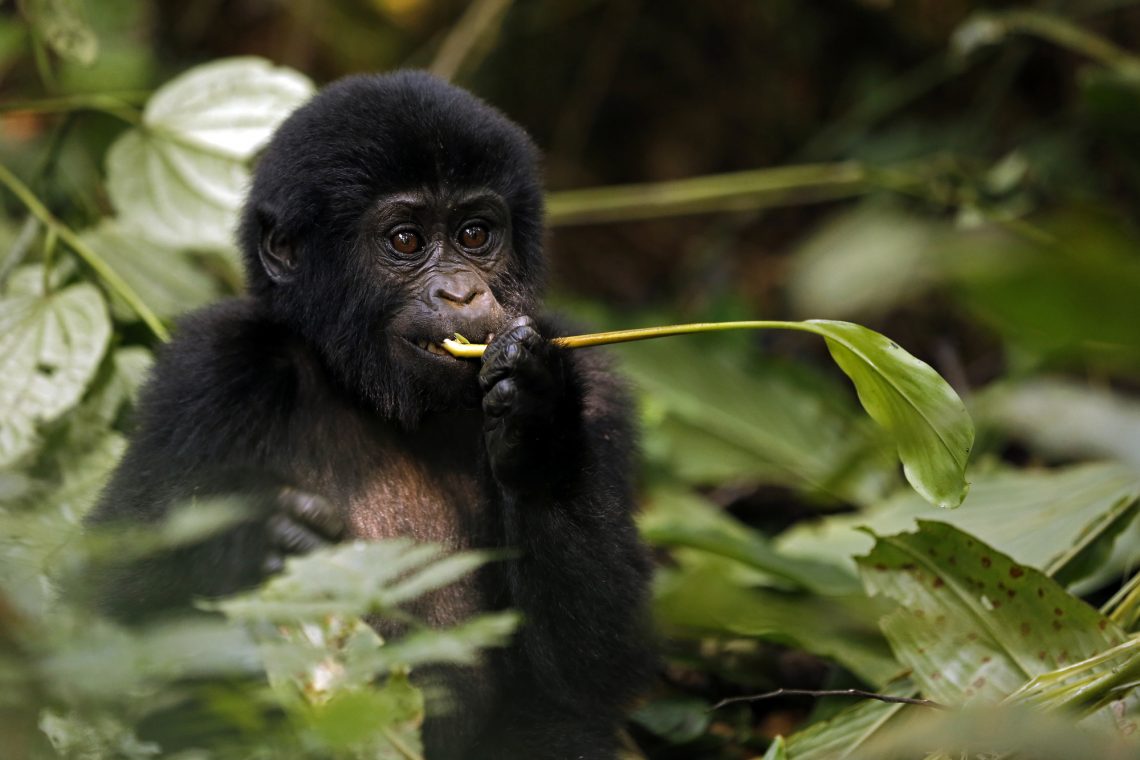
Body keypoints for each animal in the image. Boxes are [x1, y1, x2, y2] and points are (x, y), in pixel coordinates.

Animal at [87, 69, 656, 756]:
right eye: (406, 240)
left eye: (475, 234)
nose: (461, 292)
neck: (366, 390)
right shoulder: (209, 370)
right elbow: (106, 612)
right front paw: (256, 542)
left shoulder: (593, 384)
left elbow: (589, 670)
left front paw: (537, 429)